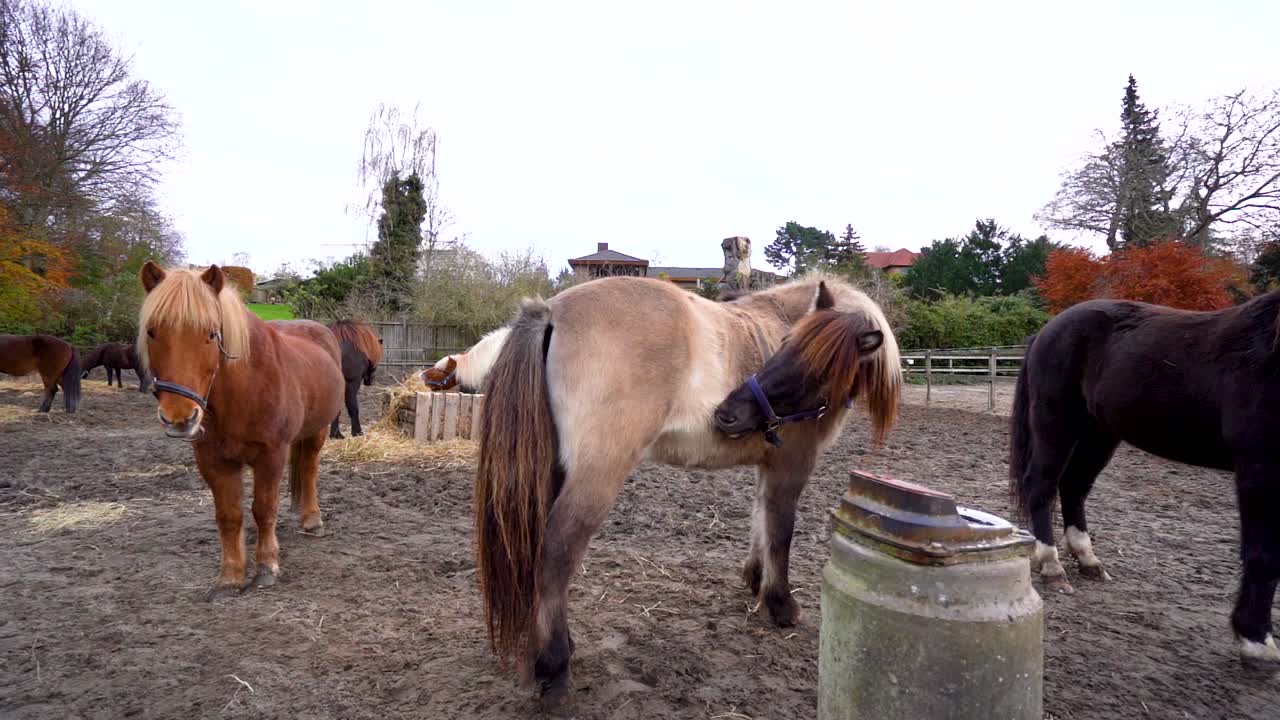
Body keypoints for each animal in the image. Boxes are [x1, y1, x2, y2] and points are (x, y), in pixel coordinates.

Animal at [137, 261, 344, 599]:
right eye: (152, 332)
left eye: (211, 334)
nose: (179, 417)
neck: (243, 390)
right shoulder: (213, 462)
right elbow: (229, 516)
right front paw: (231, 576)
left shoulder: (270, 456)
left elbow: (264, 509)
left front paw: (267, 567)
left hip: (318, 431)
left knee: (309, 470)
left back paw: (312, 519)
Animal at [472, 273, 901, 702]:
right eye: (785, 346)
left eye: (818, 365)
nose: (727, 413)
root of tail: (552, 310)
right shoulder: (791, 465)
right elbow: (780, 532)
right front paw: (780, 604)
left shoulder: (767, 465)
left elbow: (760, 520)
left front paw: (755, 579)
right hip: (597, 475)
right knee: (557, 552)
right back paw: (554, 666)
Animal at [1009, 292, 1280, 663]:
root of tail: (1046, 330)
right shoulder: (1259, 468)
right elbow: (1262, 553)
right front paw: (1256, 638)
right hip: (1058, 422)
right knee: (1042, 485)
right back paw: (1052, 566)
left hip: (1099, 433)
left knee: (1073, 485)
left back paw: (1088, 558)